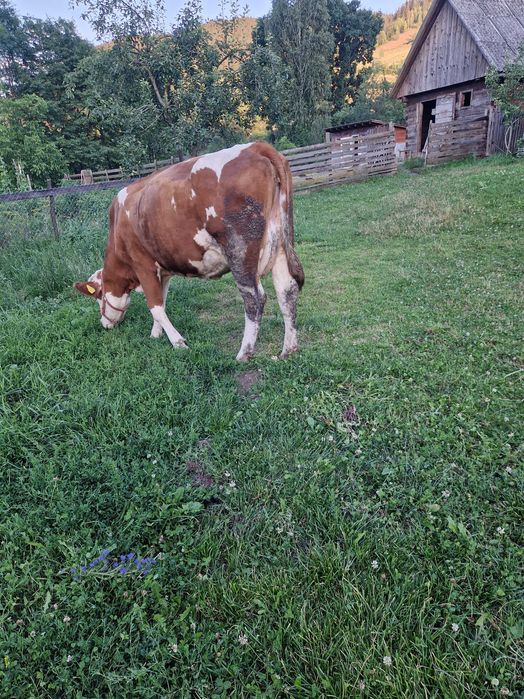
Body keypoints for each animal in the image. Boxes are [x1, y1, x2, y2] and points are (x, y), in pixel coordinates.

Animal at [74, 142, 304, 361]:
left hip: (240, 250)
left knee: (254, 298)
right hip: (280, 243)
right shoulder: (163, 269)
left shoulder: (143, 265)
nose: (105, 324)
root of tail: (255, 147)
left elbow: (155, 306)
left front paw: (178, 343)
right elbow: (162, 301)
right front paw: (156, 334)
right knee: (287, 290)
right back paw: (288, 350)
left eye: (99, 297)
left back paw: (244, 354)